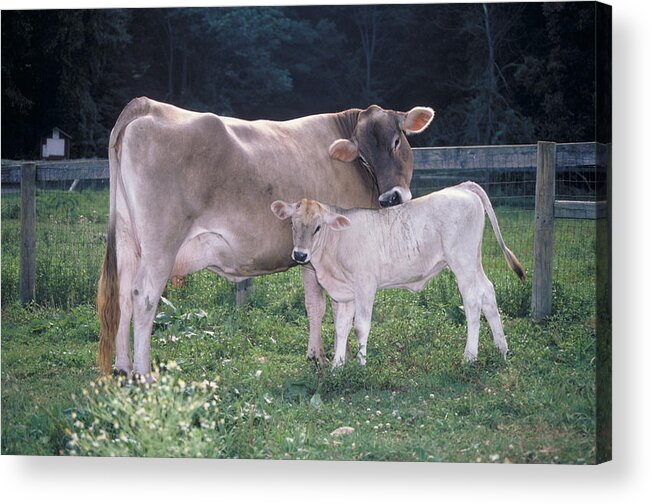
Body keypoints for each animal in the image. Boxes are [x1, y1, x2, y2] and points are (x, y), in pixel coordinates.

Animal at [98, 98, 432, 380]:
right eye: (362, 155)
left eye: (396, 141)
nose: (391, 198)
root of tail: (147, 105)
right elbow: (336, 309)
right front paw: (337, 357)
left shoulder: (309, 256)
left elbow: (314, 305)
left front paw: (317, 356)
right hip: (160, 244)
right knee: (144, 296)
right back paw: (143, 374)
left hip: (127, 240)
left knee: (123, 294)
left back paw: (123, 366)